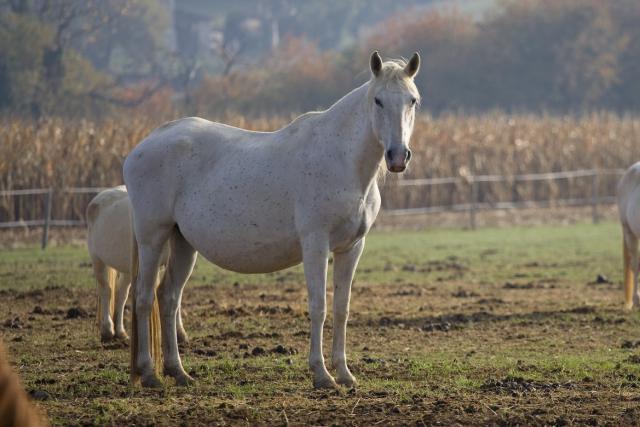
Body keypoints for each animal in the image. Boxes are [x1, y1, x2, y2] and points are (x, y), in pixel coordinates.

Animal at [85, 187, 186, 344]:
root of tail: (96, 200)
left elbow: (177, 297)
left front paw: (180, 333)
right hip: (98, 260)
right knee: (106, 291)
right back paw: (108, 330)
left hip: (127, 269)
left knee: (121, 295)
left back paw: (120, 332)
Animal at [125, 51, 422, 390]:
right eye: (378, 100)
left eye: (413, 100)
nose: (397, 156)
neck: (341, 160)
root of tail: (143, 146)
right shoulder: (316, 245)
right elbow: (318, 307)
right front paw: (322, 374)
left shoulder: (352, 248)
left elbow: (341, 308)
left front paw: (344, 374)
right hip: (152, 238)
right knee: (144, 297)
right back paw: (150, 373)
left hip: (183, 243)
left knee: (168, 297)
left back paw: (178, 372)